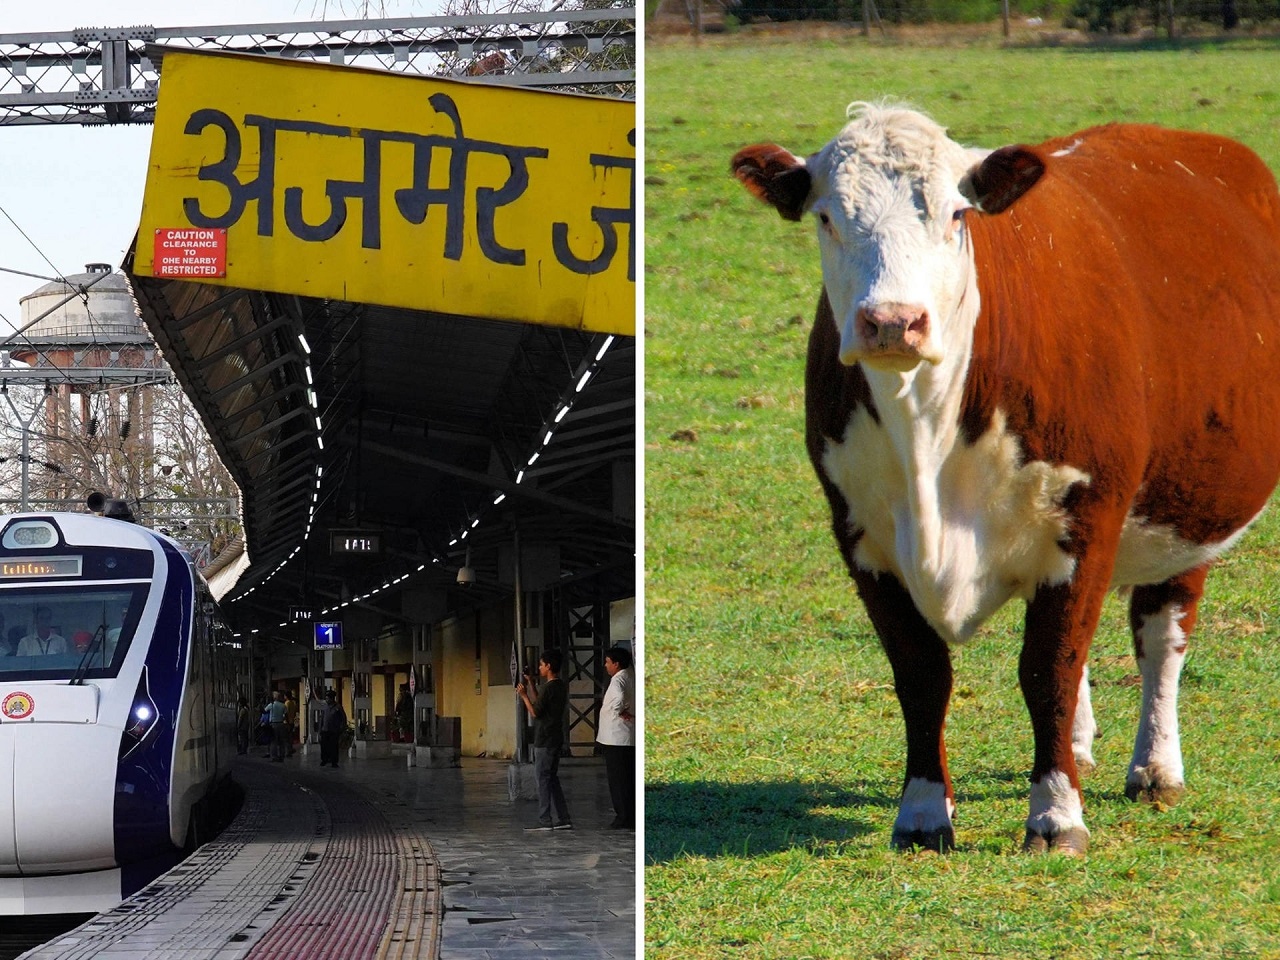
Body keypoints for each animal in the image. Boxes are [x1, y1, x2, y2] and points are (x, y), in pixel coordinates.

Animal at [731, 103, 1280, 854]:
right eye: (826, 217)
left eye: (957, 215)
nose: (892, 322)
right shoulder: (861, 536)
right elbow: (922, 673)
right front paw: (923, 813)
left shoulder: (1088, 517)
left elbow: (1048, 668)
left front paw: (1056, 815)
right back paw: (1076, 747)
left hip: (1190, 503)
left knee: (1161, 632)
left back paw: (1155, 766)